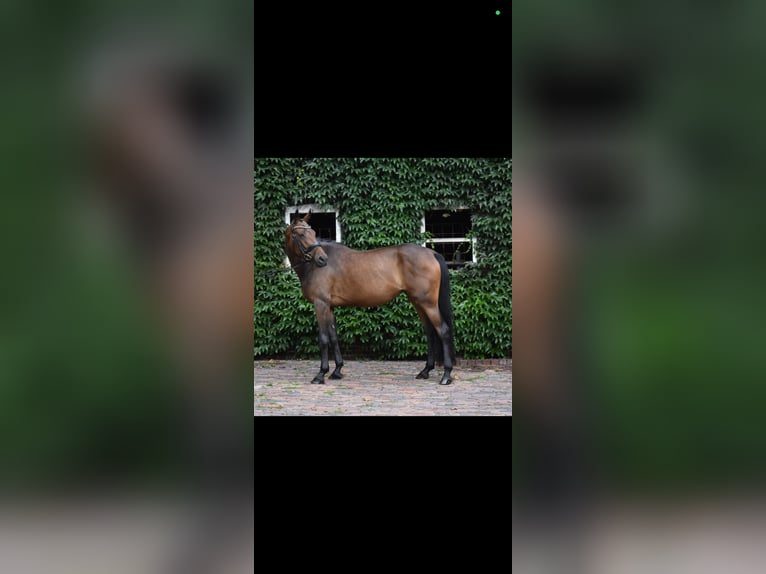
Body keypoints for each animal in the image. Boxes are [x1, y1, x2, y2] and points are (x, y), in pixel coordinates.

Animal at [284, 210, 456, 385]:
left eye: (313, 233)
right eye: (301, 234)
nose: (322, 259)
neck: (312, 267)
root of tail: (432, 253)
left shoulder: (321, 304)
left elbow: (324, 338)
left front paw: (321, 374)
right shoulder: (329, 306)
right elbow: (333, 337)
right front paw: (337, 371)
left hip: (428, 304)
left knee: (443, 331)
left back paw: (446, 375)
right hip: (418, 303)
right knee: (430, 332)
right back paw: (425, 371)